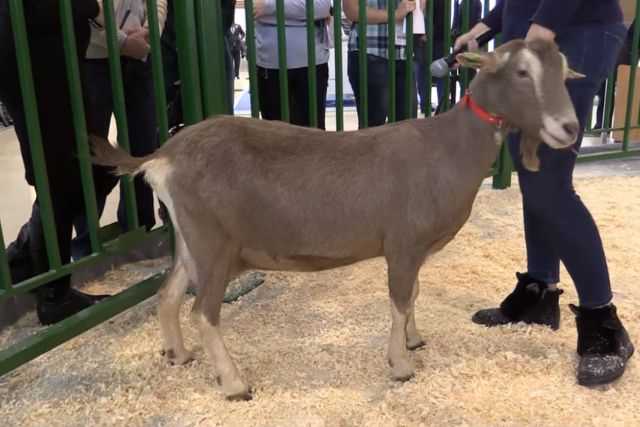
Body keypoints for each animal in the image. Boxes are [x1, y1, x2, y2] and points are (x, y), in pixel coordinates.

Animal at [92, 40, 584, 402]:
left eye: (563, 72)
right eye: (521, 73)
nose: (570, 129)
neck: (448, 147)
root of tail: (162, 156)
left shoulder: (414, 250)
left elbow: (413, 295)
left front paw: (414, 340)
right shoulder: (402, 244)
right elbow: (399, 300)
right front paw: (401, 365)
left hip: (189, 240)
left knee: (167, 294)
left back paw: (177, 354)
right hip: (214, 244)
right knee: (203, 311)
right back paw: (234, 384)